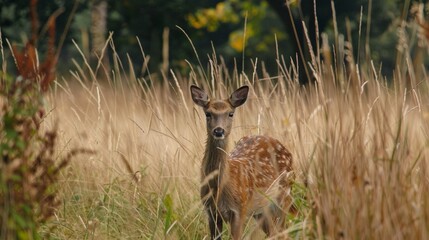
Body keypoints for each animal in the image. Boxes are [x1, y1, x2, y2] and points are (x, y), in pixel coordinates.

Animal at [190, 85, 292, 239]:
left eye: (230, 113)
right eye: (208, 114)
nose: (218, 131)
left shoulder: (240, 209)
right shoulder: (210, 212)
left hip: (284, 197)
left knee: (283, 232)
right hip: (261, 210)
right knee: (275, 233)